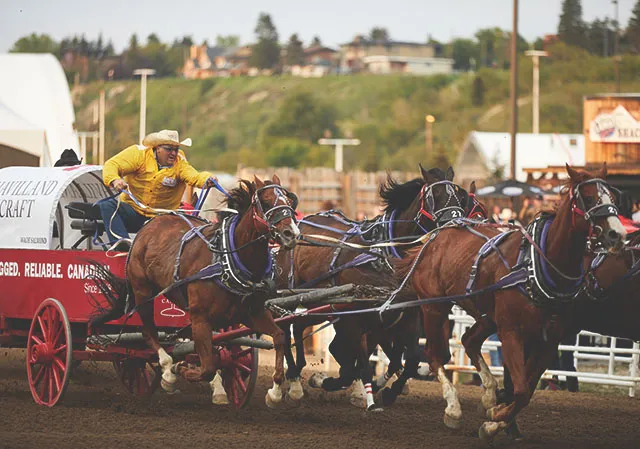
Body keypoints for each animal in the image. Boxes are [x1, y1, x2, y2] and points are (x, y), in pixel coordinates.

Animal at [91, 175, 302, 406]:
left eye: (289, 202)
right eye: (265, 201)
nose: (291, 233)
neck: (226, 259)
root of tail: (146, 228)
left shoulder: (251, 313)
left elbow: (279, 336)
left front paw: (274, 392)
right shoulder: (200, 318)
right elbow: (208, 366)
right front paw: (180, 369)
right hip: (142, 292)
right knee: (148, 332)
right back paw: (167, 370)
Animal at [398, 164, 628, 438]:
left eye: (613, 197)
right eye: (589, 198)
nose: (618, 234)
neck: (537, 265)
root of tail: (435, 236)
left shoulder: (548, 340)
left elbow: (526, 390)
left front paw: (495, 418)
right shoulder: (511, 332)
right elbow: (519, 389)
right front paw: (495, 419)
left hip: (486, 315)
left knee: (469, 340)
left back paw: (488, 394)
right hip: (434, 306)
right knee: (435, 355)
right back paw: (453, 408)